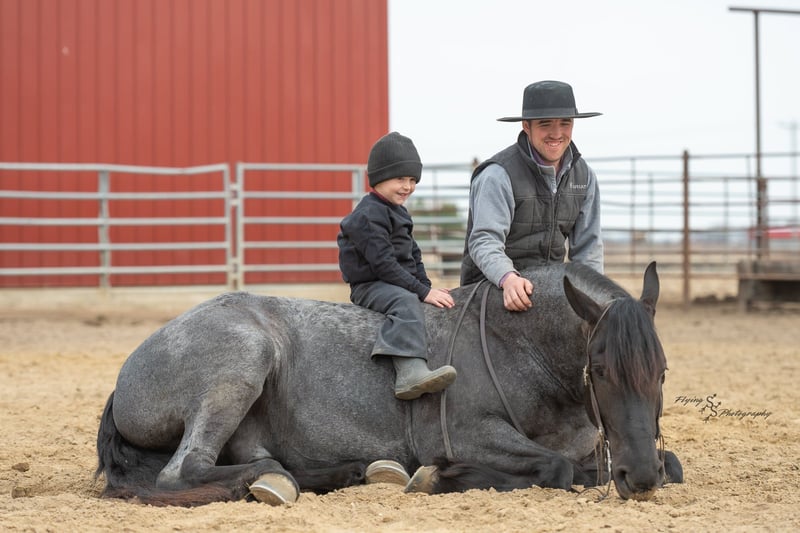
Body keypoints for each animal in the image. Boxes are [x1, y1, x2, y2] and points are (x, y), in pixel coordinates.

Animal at [95, 262, 683, 506]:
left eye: (661, 371)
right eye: (600, 370)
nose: (640, 477)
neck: (518, 342)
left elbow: (666, 464)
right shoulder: (464, 435)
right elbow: (555, 468)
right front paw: (440, 478)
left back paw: (351, 471)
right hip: (241, 362)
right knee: (185, 473)